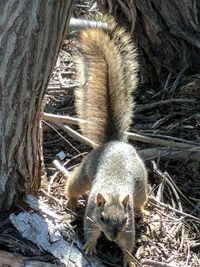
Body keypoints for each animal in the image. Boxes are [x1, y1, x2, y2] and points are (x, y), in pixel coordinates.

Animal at [65, 16, 148, 266]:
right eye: (102, 217)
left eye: (124, 220)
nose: (112, 237)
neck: (112, 192)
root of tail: (114, 142)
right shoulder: (91, 217)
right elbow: (89, 230)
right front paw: (90, 246)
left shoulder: (128, 229)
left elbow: (129, 244)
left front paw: (128, 258)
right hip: (85, 173)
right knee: (73, 185)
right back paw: (70, 201)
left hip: (142, 187)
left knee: (141, 201)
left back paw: (142, 210)